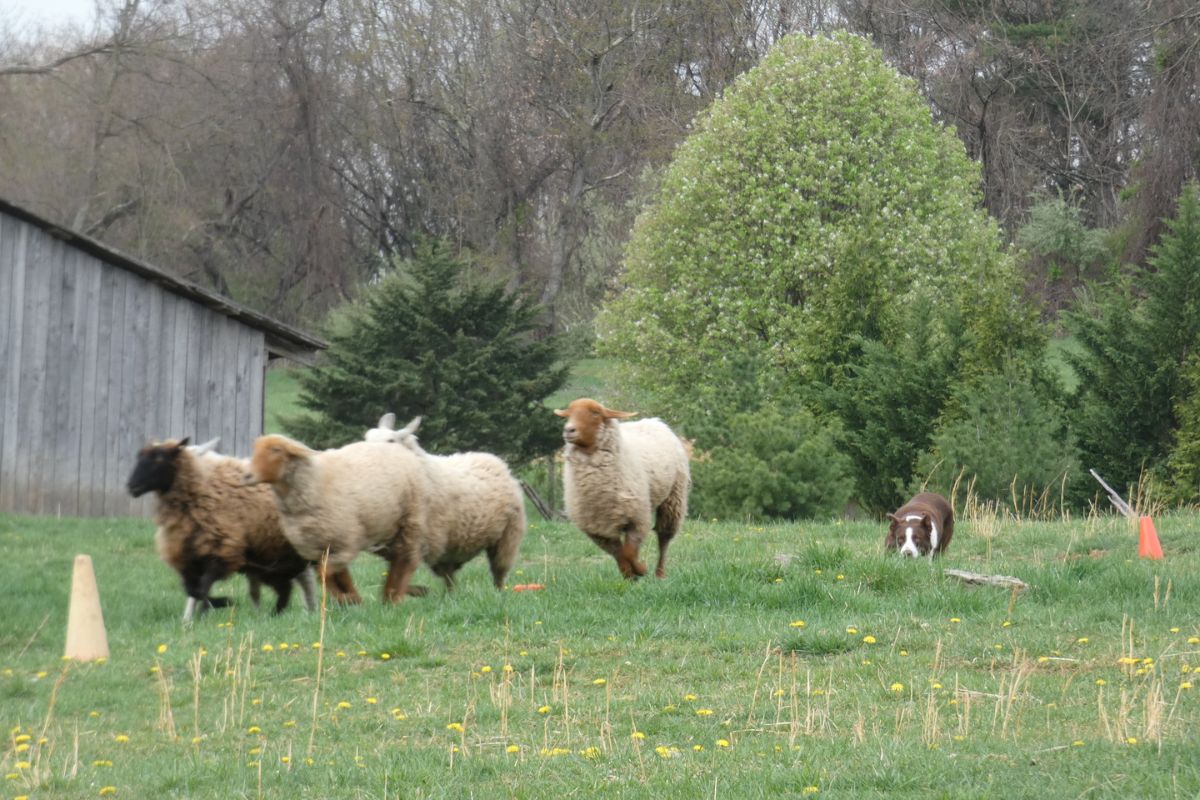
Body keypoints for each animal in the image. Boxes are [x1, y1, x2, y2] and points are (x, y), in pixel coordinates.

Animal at [126, 437, 318, 623]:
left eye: (159, 458)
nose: (131, 487)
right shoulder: (189, 557)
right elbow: (193, 590)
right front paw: (192, 618)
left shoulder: (222, 550)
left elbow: (201, 588)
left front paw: (220, 604)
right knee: (285, 585)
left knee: (302, 582)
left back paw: (307, 611)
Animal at [245, 434, 432, 603]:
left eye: (276, 450)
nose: (247, 476)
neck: (314, 482)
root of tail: (398, 448)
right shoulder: (319, 549)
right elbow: (336, 576)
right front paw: (351, 599)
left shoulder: (345, 545)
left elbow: (325, 573)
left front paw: (347, 598)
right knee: (395, 560)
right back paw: (395, 593)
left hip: (411, 520)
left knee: (405, 560)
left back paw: (394, 597)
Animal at [365, 414, 526, 590]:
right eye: (367, 437)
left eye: (391, 441)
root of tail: (497, 462)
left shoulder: (430, 537)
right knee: (450, 575)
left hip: (507, 537)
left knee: (499, 572)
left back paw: (498, 592)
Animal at [554, 398, 690, 579]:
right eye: (568, 413)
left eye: (595, 413)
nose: (569, 430)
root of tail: (655, 421)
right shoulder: (599, 530)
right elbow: (620, 555)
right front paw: (630, 576)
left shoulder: (638, 518)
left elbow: (629, 552)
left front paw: (641, 570)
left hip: (674, 499)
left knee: (664, 538)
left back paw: (660, 573)